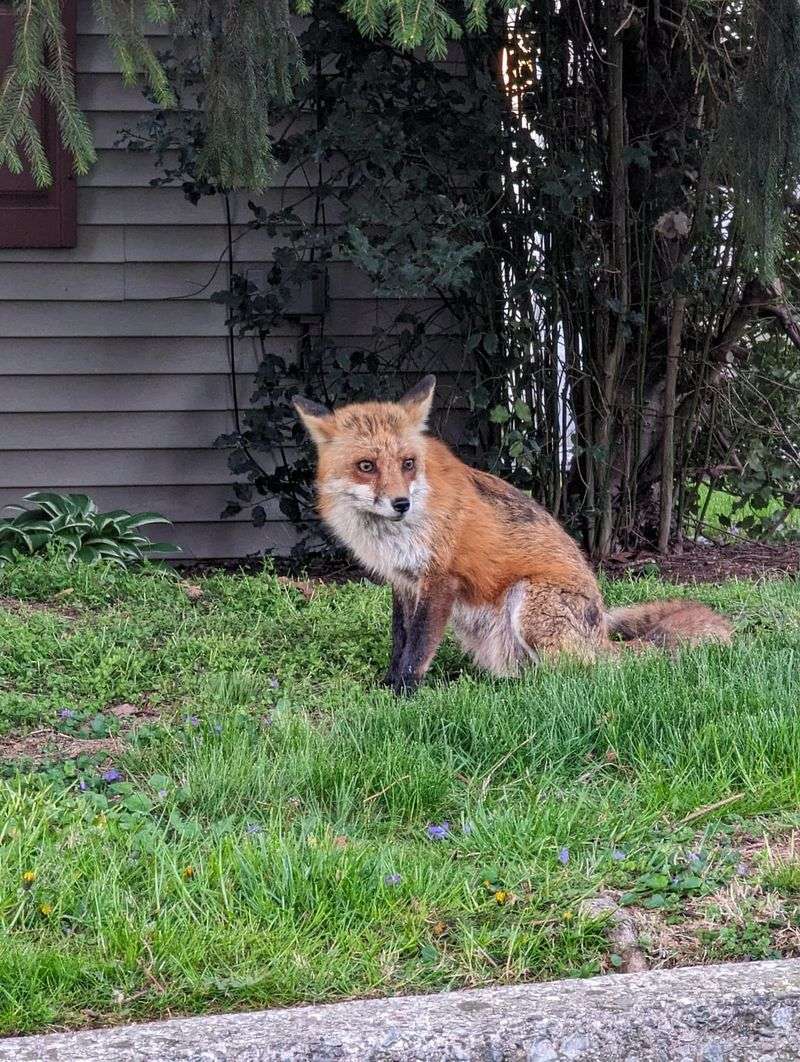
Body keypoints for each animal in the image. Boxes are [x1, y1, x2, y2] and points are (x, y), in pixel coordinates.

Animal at [293, 375, 732, 694]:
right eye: (366, 466)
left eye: (407, 463)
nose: (400, 503)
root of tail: (601, 637)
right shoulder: (403, 582)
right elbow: (400, 641)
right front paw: (388, 684)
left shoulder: (440, 579)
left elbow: (418, 648)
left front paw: (403, 693)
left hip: (526, 602)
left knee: (577, 675)